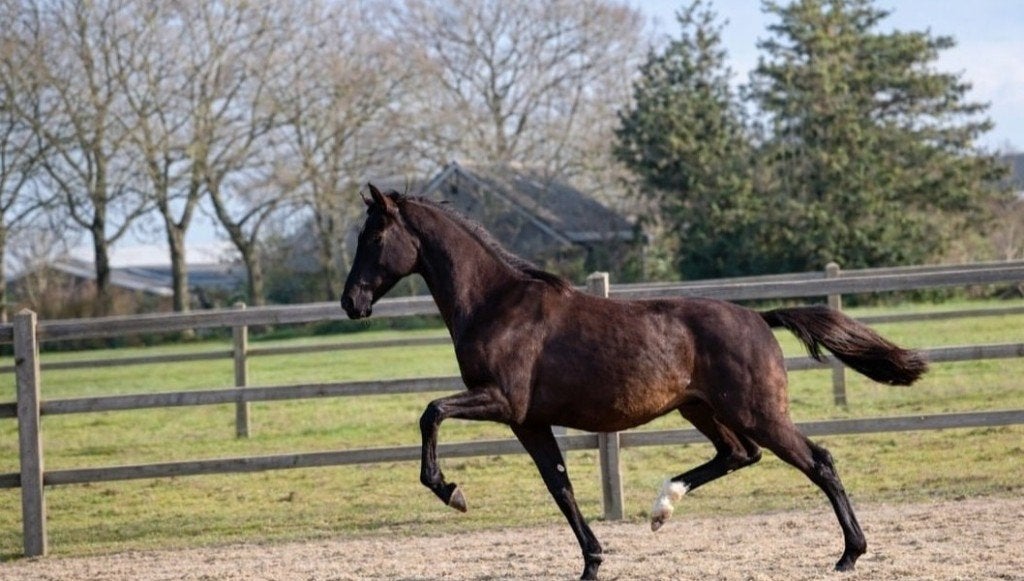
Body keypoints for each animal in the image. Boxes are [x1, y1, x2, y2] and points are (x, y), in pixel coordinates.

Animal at [341, 184, 928, 580]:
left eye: (374, 235)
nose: (351, 302)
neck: (496, 305)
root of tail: (760, 318)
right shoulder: (529, 422)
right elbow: (560, 486)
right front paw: (593, 562)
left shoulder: (502, 402)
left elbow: (431, 412)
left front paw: (451, 491)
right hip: (701, 409)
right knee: (739, 454)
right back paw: (662, 507)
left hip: (758, 411)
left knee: (817, 460)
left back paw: (849, 554)